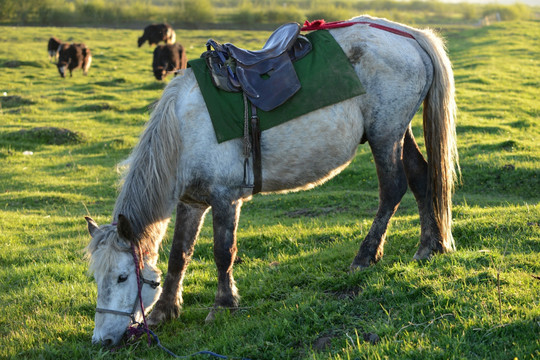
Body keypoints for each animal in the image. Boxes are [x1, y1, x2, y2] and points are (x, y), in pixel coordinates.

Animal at [84, 16, 456, 346]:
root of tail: (408, 34)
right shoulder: (191, 203)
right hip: (398, 133)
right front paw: (165, 310)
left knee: (392, 189)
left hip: (384, 135)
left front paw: (223, 306)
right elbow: (179, 256)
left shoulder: (225, 198)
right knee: (421, 177)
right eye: (97, 277)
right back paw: (428, 246)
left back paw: (365, 256)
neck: (184, 128)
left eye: (121, 276)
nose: (102, 340)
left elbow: (223, 253)